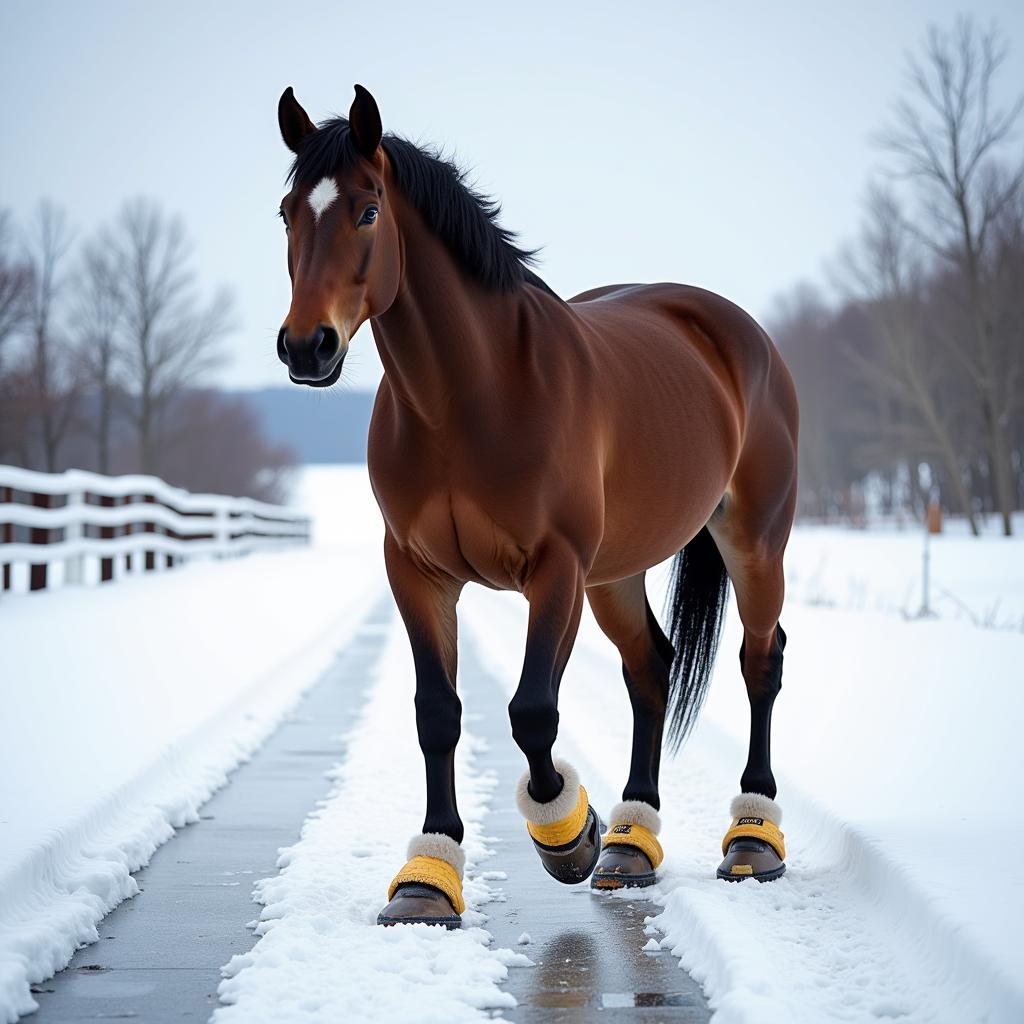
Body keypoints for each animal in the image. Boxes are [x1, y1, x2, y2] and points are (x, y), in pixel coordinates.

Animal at [274, 83, 798, 925]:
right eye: (287, 211)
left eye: (367, 210)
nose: (305, 347)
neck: (472, 398)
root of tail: (730, 330)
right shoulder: (416, 571)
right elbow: (437, 712)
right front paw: (429, 875)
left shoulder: (555, 570)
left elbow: (530, 711)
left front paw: (567, 835)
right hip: (616, 573)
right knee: (651, 669)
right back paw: (631, 841)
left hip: (753, 541)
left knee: (761, 661)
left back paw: (751, 837)